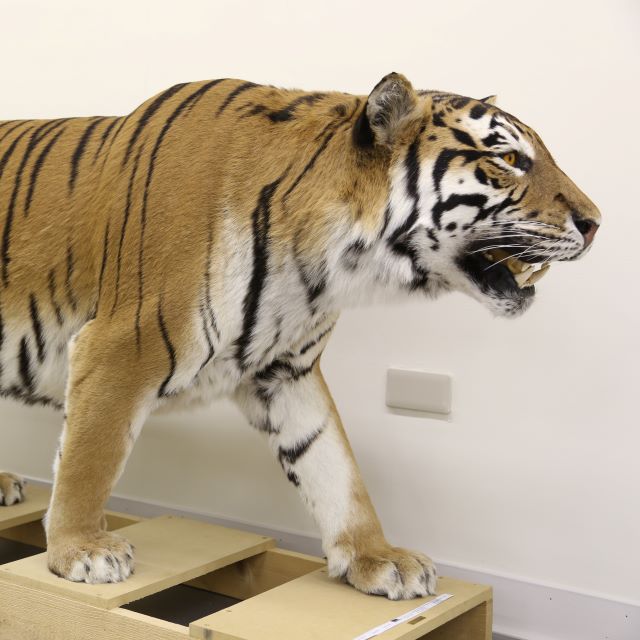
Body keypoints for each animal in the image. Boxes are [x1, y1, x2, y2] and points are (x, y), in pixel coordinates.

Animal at [0, 73, 599, 600]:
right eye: (509, 159)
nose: (596, 223)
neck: (327, 265)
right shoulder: (124, 344)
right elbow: (89, 458)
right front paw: (80, 550)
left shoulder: (286, 370)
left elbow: (334, 465)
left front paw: (378, 558)